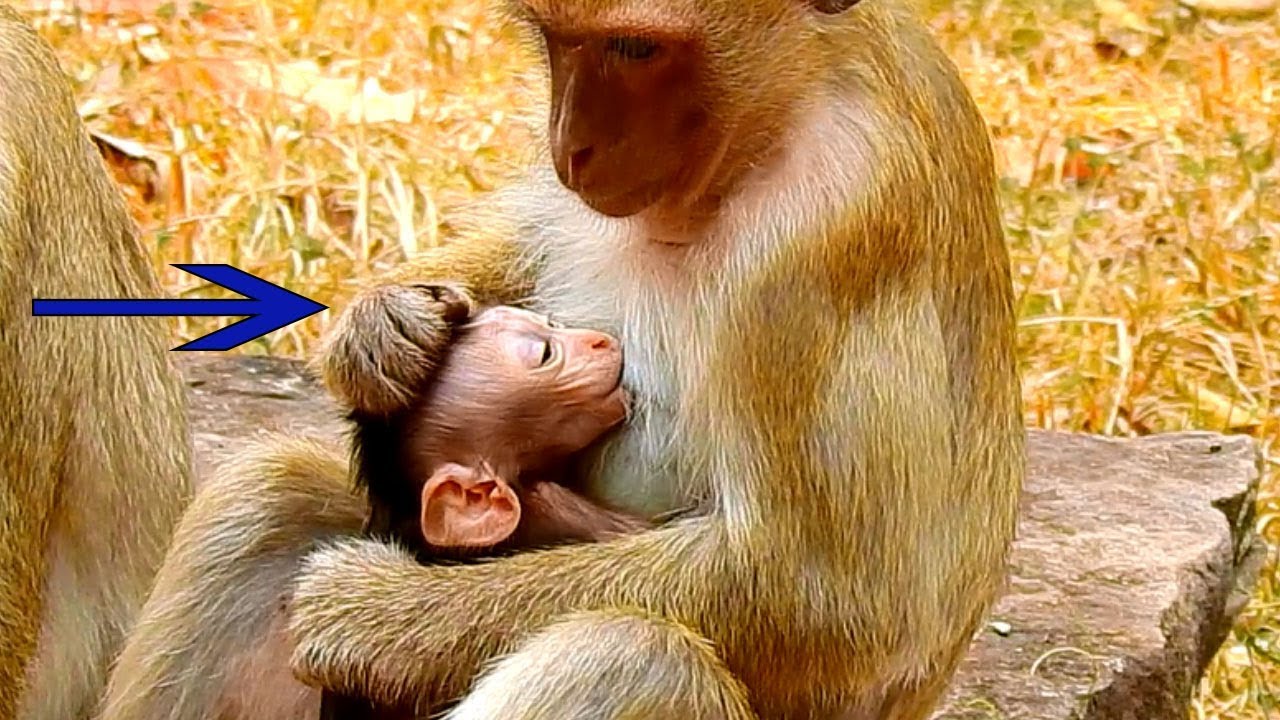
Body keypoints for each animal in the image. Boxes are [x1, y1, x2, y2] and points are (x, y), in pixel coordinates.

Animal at [103, 0, 1027, 716]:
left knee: (630, 657)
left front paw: (371, 614)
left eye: (635, 48)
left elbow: (832, 598)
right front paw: (383, 329)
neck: (781, 112)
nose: (570, 144)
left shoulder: (831, 229)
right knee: (273, 491)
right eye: (558, 39)